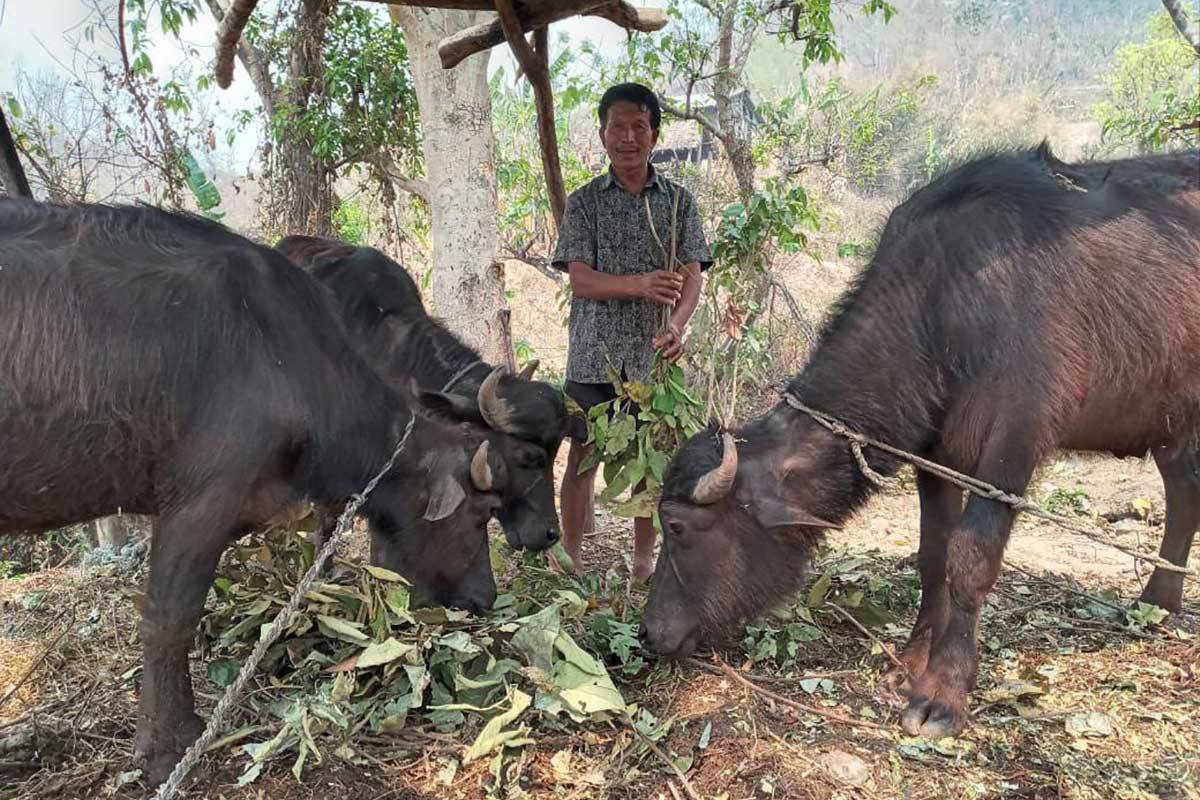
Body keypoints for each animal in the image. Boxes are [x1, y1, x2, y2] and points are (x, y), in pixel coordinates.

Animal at [0, 203, 504, 786]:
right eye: (480, 514)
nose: (485, 596)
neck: (280, 354)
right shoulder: (200, 501)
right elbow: (169, 620)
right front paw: (167, 746)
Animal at [643, 145, 1200, 738]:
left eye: (676, 526)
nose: (649, 629)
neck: (945, 299)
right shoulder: (933, 454)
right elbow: (934, 552)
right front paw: (912, 659)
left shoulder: (1013, 441)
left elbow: (970, 558)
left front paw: (944, 690)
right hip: (1171, 422)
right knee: (1184, 492)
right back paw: (1159, 603)